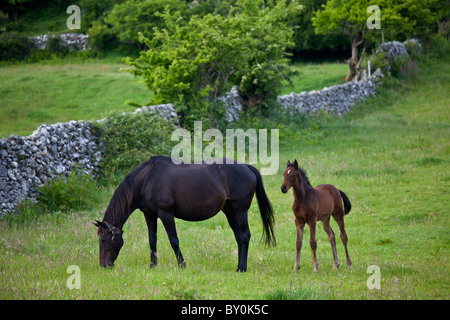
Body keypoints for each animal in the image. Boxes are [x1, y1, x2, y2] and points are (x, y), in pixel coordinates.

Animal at [93, 155, 276, 272]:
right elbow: (152, 241)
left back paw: (243, 268)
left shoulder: (166, 214)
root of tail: (247, 167)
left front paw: (182, 265)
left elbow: (174, 241)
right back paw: (238, 267)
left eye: (103, 240)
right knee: (238, 237)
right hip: (230, 211)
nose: (104, 265)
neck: (147, 181)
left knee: (245, 236)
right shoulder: (149, 215)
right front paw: (153, 266)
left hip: (240, 210)